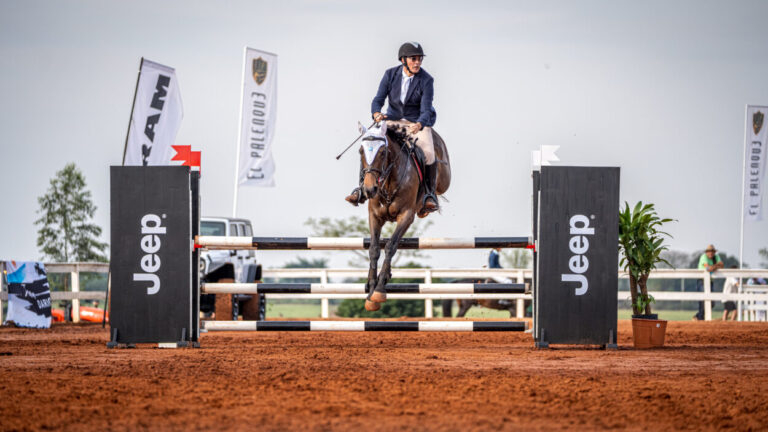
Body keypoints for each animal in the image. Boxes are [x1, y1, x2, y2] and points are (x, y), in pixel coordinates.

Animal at [358, 121, 450, 310]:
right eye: (361, 151)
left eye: (383, 152)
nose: (369, 189)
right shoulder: (375, 217)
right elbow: (374, 249)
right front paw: (371, 290)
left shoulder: (406, 216)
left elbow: (391, 246)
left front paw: (379, 290)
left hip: (444, 177)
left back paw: (430, 201)